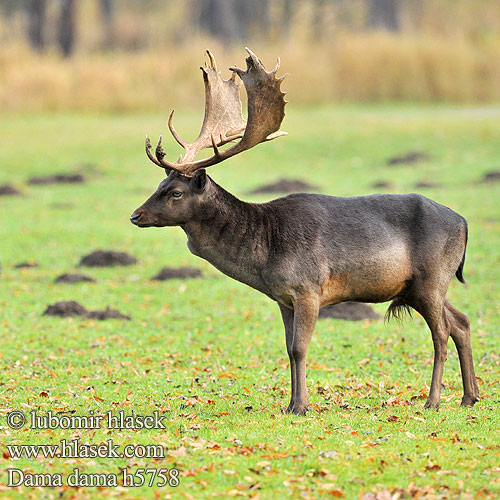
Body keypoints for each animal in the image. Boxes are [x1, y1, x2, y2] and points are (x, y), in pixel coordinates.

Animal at [131, 47, 478, 414]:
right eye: (160, 184)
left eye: (175, 192)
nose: (136, 215)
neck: (265, 251)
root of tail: (464, 223)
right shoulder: (283, 298)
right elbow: (288, 348)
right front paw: (290, 404)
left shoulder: (308, 288)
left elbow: (299, 348)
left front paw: (301, 406)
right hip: (422, 287)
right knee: (461, 322)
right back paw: (469, 396)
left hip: (431, 279)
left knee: (441, 333)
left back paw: (433, 400)